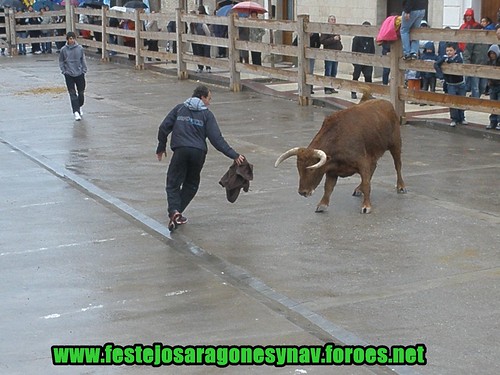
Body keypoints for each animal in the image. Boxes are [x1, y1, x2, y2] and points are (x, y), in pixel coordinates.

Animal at [274, 94, 406, 214]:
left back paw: (401, 186)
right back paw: (359, 189)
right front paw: (322, 204)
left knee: (398, 165)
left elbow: (367, 183)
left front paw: (366, 206)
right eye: (298, 168)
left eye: (311, 169)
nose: (302, 192)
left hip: (396, 144)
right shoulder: (332, 170)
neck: (338, 137)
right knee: (374, 168)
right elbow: (328, 187)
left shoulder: (362, 162)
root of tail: (387, 103)